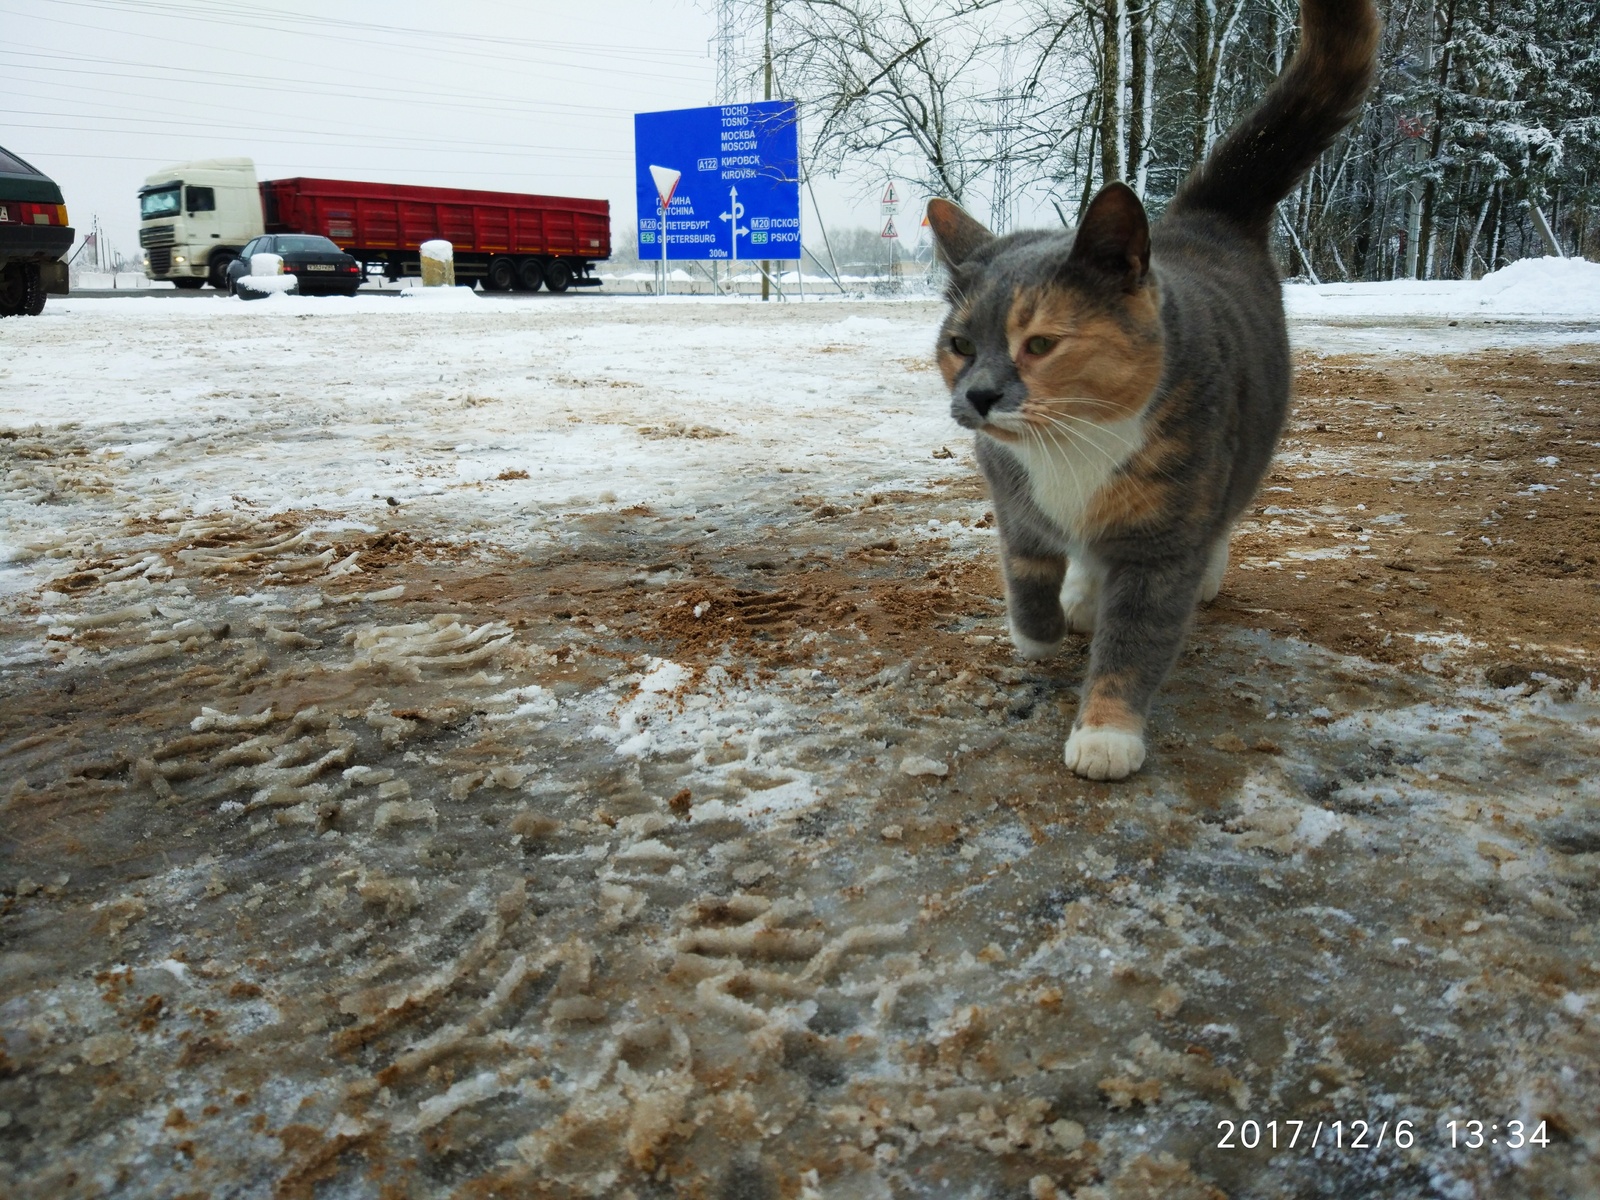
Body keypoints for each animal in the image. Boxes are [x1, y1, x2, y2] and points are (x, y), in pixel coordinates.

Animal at [934, 0, 1382, 780]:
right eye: (960, 345)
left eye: (1040, 344)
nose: (980, 395)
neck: (1072, 446)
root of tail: (1204, 217)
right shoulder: (1012, 496)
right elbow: (1027, 572)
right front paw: (1041, 632)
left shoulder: (1163, 541)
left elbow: (1134, 641)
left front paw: (1106, 732)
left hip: (1239, 454)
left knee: (1223, 517)